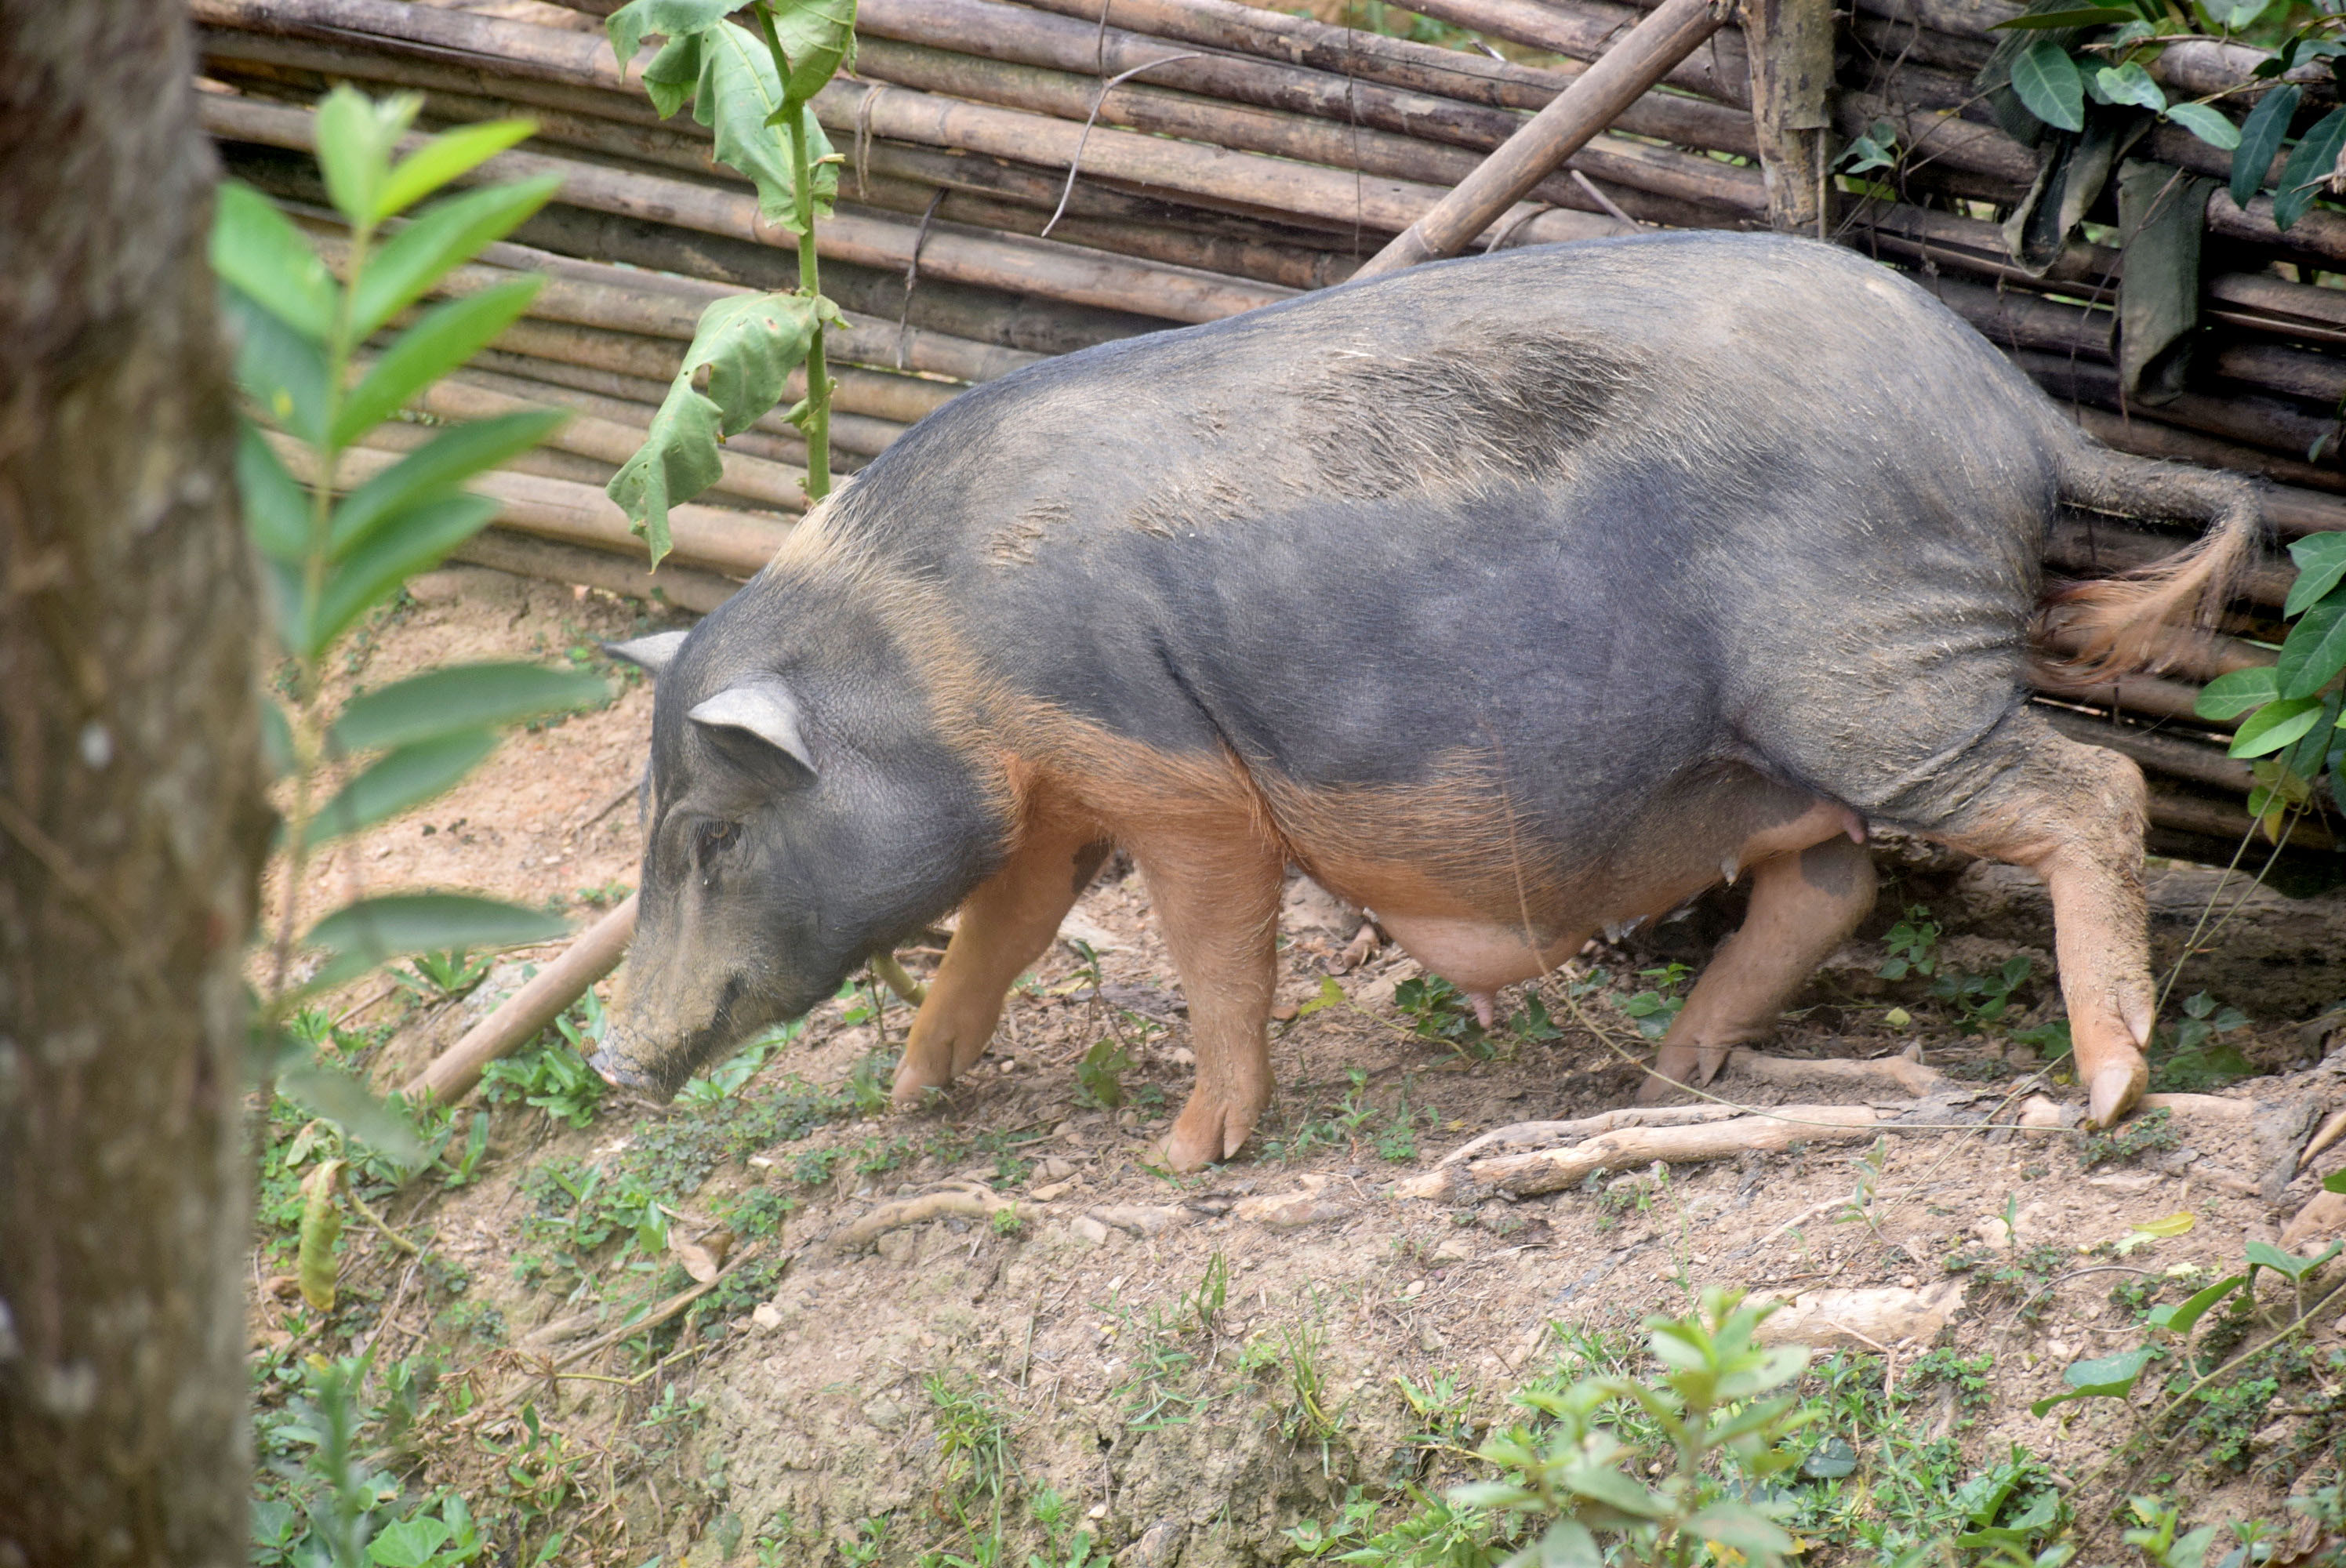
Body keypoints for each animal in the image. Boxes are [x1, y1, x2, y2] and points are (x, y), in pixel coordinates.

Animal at [586, 230, 2252, 1164]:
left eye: (713, 838)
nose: (606, 1059)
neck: (935, 656)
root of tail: (2024, 413)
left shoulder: (1179, 782)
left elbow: (1213, 956)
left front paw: (1184, 1161)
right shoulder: (1058, 804)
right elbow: (992, 938)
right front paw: (908, 1100)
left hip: (1879, 679)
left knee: (2093, 792)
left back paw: (2107, 1097)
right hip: (1776, 744)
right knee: (1835, 883)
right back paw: (1667, 1077)